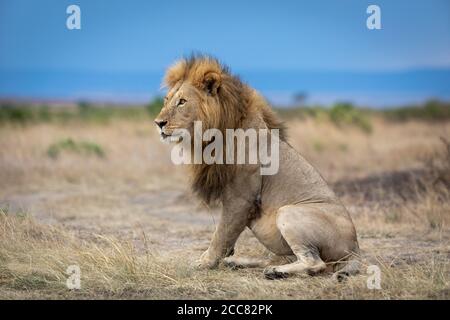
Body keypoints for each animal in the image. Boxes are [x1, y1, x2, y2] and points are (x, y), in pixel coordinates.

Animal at [154, 55, 358, 280]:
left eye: (182, 102)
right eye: (166, 100)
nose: (158, 123)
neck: (215, 135)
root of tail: (356, 249)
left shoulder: (240, 197)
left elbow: (222, 233)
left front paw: (204, 262)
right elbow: (225, 234)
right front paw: (222, 258)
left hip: (288, 212)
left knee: (315, 263)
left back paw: (275, 272)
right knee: (279, 258)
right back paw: (239, 263)